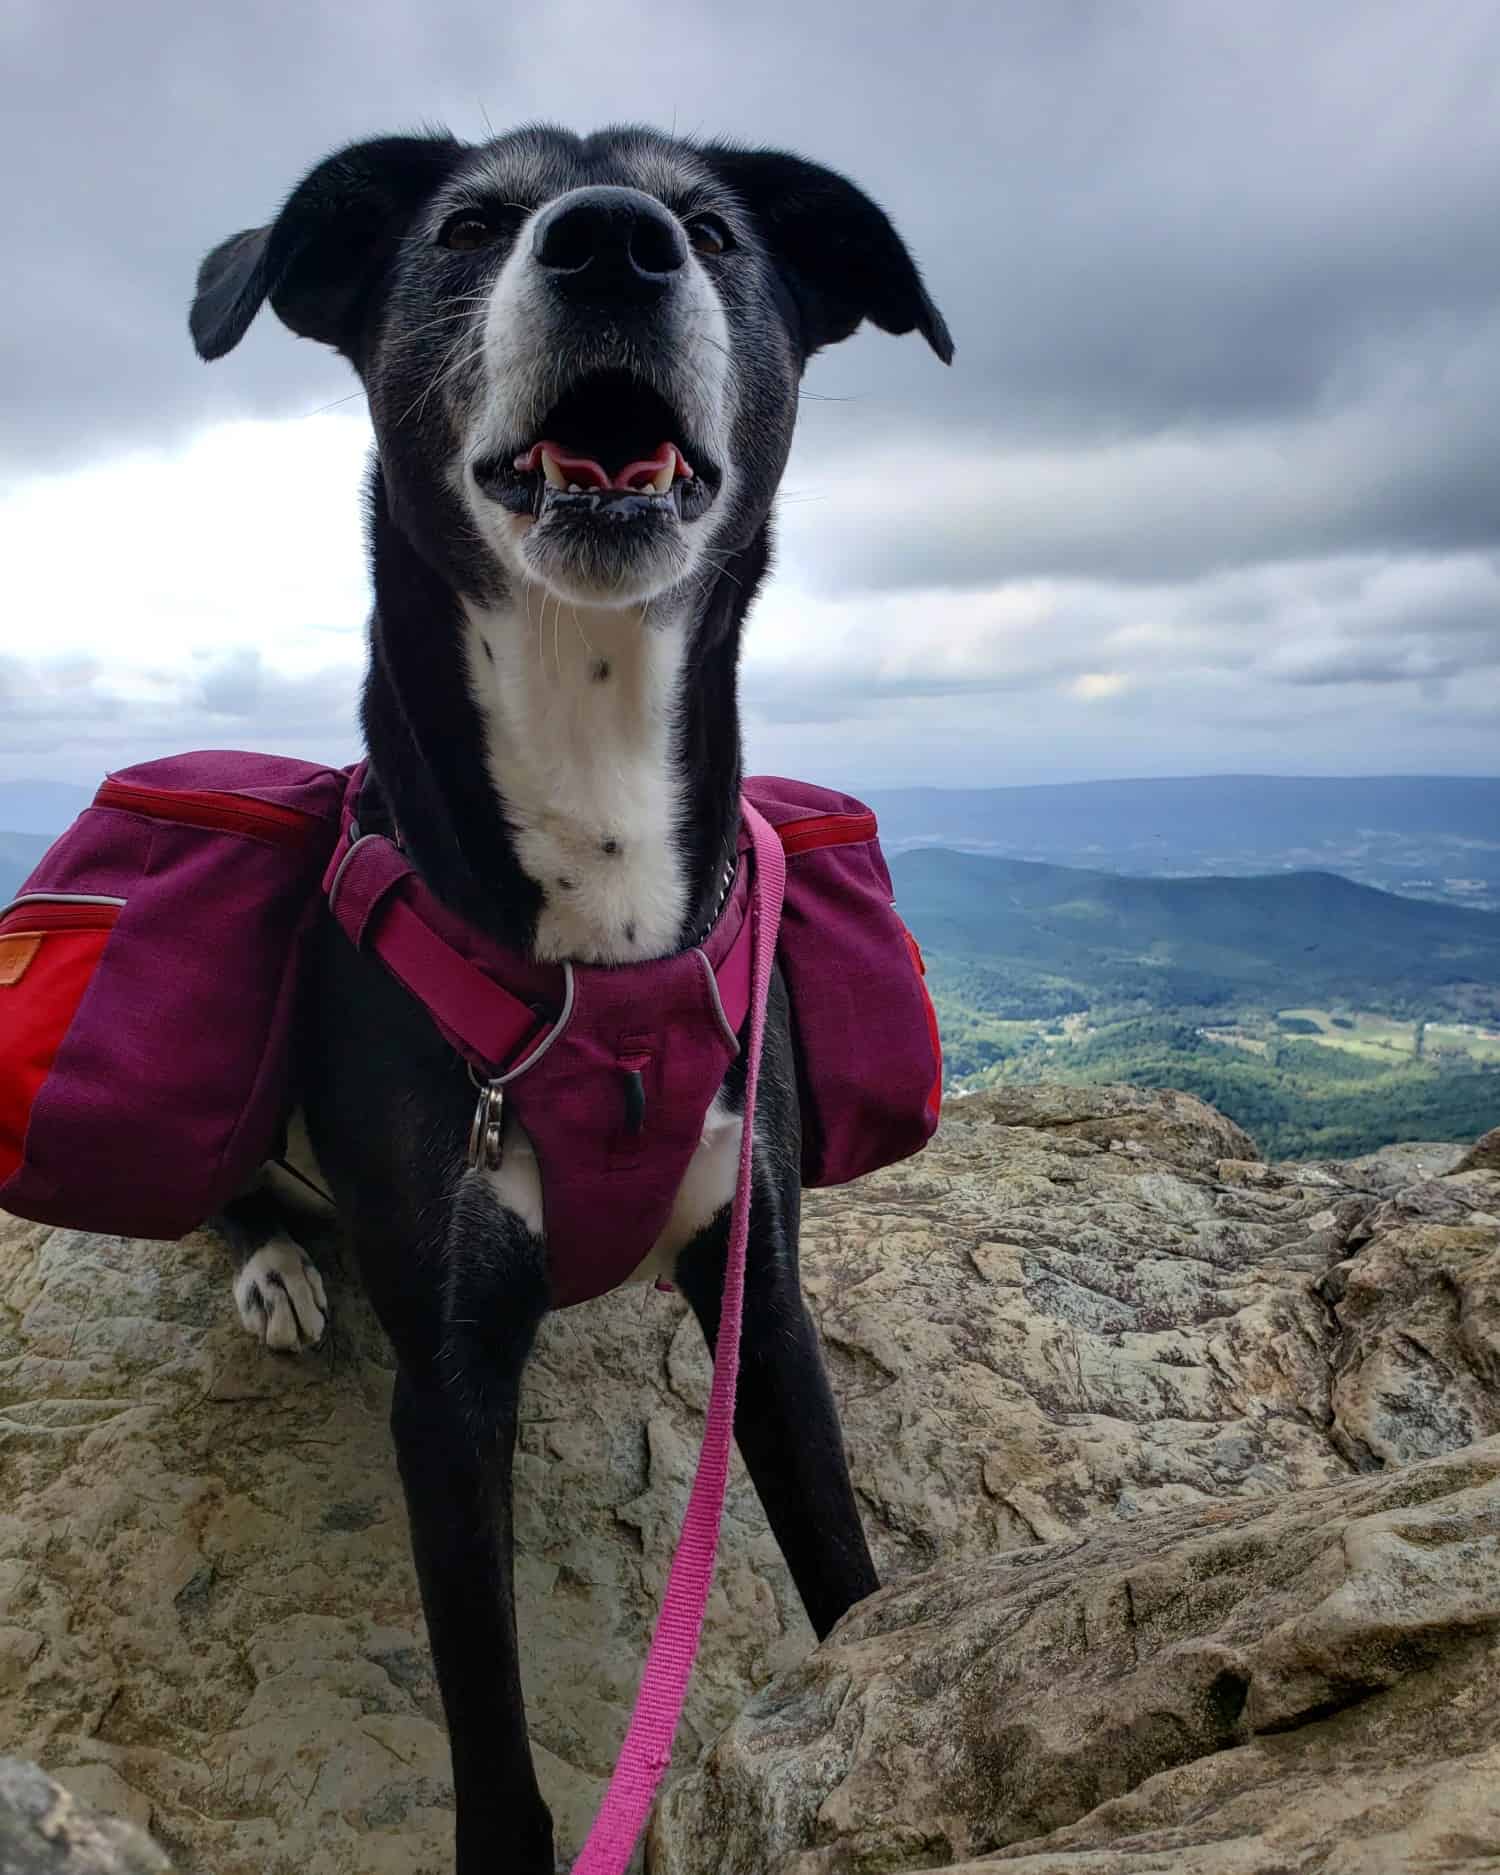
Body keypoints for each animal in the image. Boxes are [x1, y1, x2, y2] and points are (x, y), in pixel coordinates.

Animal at [190, 124, 948, 1867]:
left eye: (716, 229)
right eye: (470, 222)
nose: (613, 242)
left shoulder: (762, 1292)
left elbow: (843, 1564)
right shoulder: (447, 1385)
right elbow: (489, 1730)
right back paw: (270, 1264)